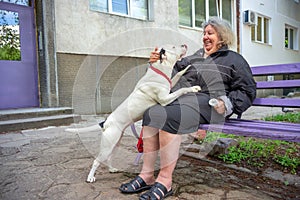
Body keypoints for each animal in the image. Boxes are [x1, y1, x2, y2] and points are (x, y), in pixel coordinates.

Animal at [67, 45, 200, 183]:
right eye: (173, 47)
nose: (184, 45)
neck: (160, 70)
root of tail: (106, 121)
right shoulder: (165, 99)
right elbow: (181, 90)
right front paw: (193, 88)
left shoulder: (170, 85)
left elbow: (178, 74)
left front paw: (187, 68)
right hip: (107, 146)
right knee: (96, 161)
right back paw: (90, 177)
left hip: (115, 143)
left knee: (109, 157)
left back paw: (112, 169)